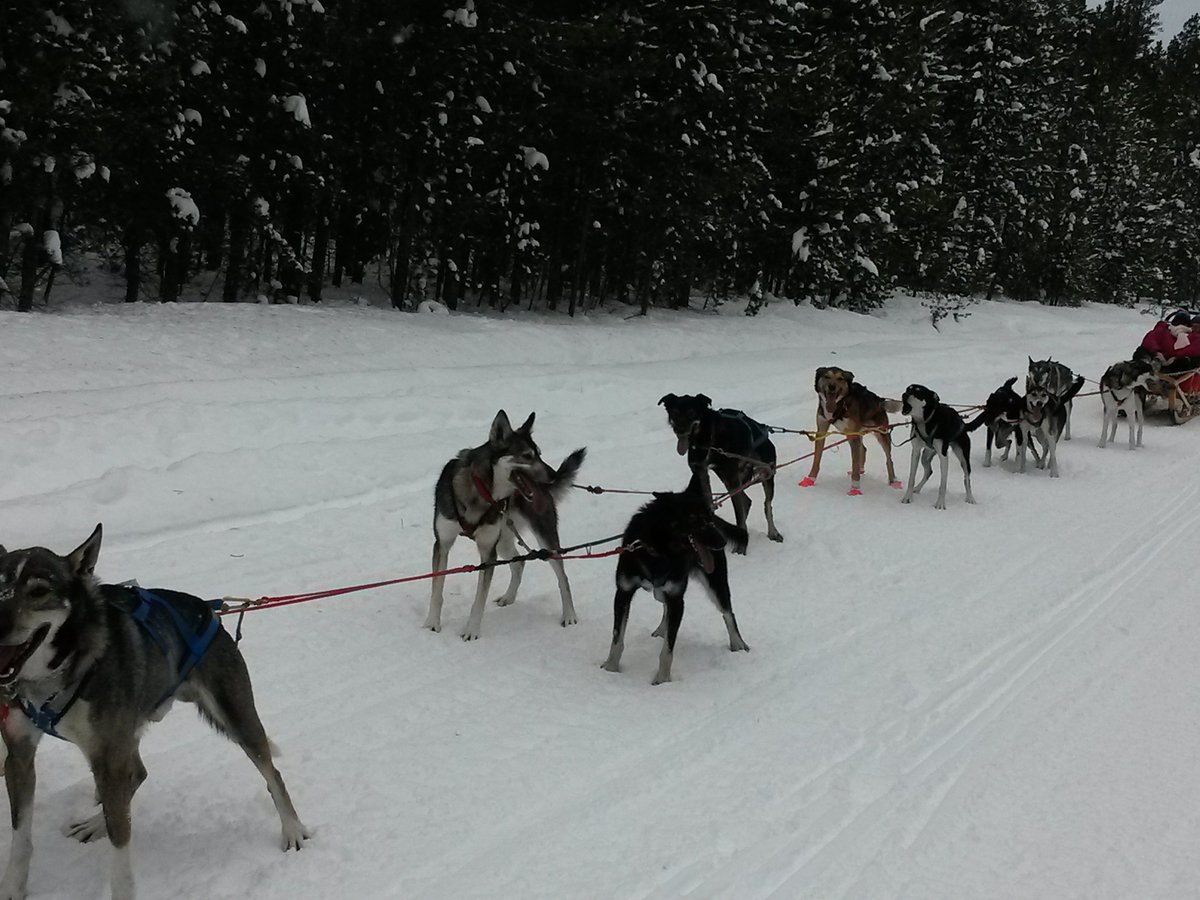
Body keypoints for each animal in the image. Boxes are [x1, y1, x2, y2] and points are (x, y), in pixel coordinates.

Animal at [0, 525, 307, 900]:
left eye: (39, 591)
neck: (59, 670)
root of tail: (208, 610)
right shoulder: (19, 755)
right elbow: (21, 837)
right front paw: (13, 886)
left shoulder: (107, 756)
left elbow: (120, 848)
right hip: (124, 739)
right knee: (135, 775)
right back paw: (96, 823)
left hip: (235, 718)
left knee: (270, 772)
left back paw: (292, 828)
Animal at [600, 468, 748, 686]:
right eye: (695, 519)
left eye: (709, 517)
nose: (721, 542)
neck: (658, 550)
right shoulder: (623, 592)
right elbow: (617, 639)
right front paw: (610, 669)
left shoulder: (677, 599)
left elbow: (667, 651)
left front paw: (662, 679)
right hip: (661, 592)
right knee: (665, 608)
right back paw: (662, 628)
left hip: (716, 584)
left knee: (728, 613)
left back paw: (738, 644)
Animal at [657, 393, 787, 549]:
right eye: (675, 413)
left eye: (691, 413)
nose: (680, 430)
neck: (708, 439)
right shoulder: (701, 473)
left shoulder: (732, 477)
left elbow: (740, 515)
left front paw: (740, 548)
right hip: (729, 478)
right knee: (746, 501)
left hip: (764, 473)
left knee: (766, 505)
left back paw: (773, 532)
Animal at [796, 367, 902, 496]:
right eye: (826, 376)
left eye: (840, 378)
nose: (832, 386)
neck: (840, 406)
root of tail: (879, 400)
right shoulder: (821, 431)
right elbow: (816, 459)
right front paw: (811, 479)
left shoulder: (853, 435)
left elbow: (855, 463)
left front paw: (855, 488)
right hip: (851, 434)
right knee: (863, 449)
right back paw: (861, 470)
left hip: (880, 434)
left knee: (888, 459)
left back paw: (893, 481)